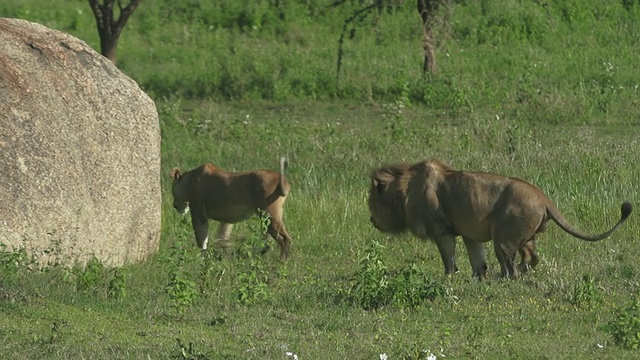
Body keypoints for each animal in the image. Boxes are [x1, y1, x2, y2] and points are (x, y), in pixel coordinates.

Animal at [368, 159, 632, 280]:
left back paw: (505, 278)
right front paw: (478, 278)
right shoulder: (469, 233)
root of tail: (544, 198)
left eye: (371, 200)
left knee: (510, 267)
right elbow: (477, 259)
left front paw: (449, 277)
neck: (405, 189)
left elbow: (449, 259)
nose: (371, 220)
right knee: (532, 258)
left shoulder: (441, 229)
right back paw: (519, 272)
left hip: (503, 238)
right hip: (525, 236)